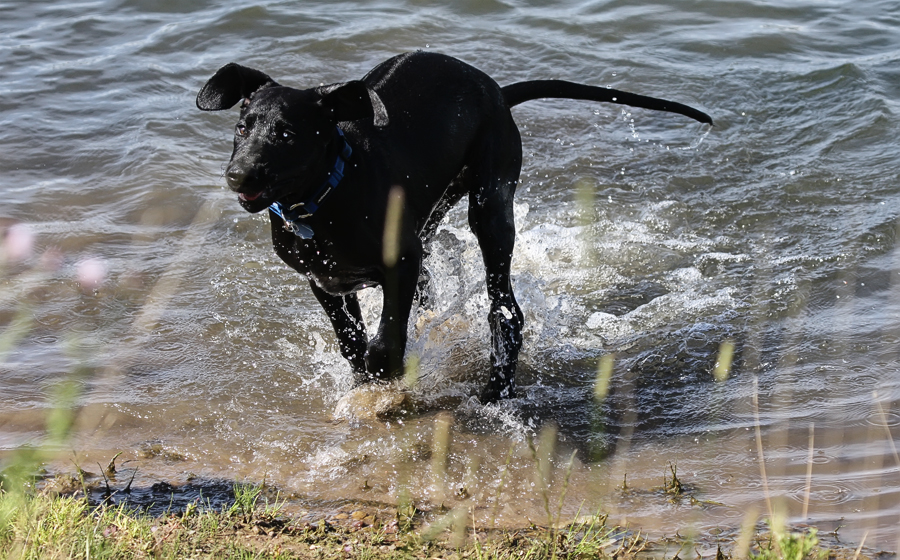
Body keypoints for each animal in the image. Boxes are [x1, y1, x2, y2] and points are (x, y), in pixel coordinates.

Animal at [197, 51, 712, 402]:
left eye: (287, 134)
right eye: (242, 127)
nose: (238, 175)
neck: (324, 199)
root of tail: (497, 91)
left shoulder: (399, 262)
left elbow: (386, 340)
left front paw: (386, 375)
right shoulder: (325, 280)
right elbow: (351, 342)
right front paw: (363, 379)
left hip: (490, 203)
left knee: (506, 311)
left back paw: (496, 388)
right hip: (433, 209)